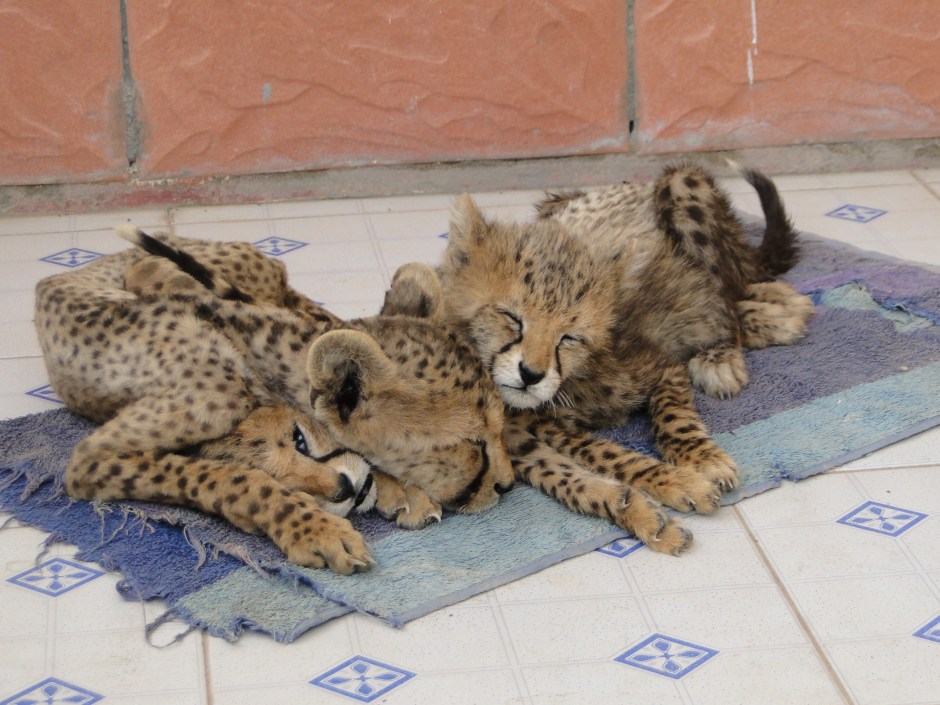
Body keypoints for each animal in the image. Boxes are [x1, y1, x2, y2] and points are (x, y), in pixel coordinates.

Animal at [34, 228, 514, 574]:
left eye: (301, 440)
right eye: (473, 447)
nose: (507, 486)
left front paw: (401, 490)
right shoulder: (92, 459)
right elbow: (226, 477)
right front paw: (316, 530)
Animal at [380, 163, 813, 555]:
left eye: (568, 337)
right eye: (510, 318)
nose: (530, 374)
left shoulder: (663, 367)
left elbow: (672, 418)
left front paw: (700, 461)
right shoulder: (522, 433)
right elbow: (592, 462)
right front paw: (663, 493)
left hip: (681, 185)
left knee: (728, 292)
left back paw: (759, 326)